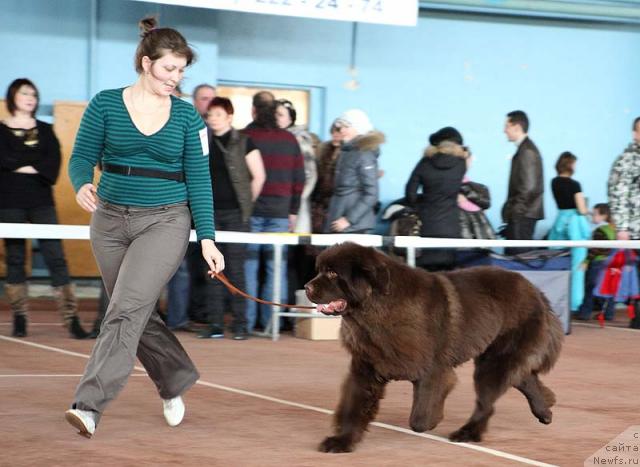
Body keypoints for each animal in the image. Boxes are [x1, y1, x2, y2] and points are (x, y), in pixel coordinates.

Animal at [304, 243, 560, 456]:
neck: (375, 311)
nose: (307, 287)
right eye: (320, 270)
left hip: (495, 361)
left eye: (333, 273)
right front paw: (341, 441)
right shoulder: (366, 367)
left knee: (487, 401)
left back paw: (468, 432)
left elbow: (419, 417)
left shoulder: (432, 370)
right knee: (523, 377)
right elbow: (353, 407)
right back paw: (546, 407)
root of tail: (535, 289)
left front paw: (432, 421)